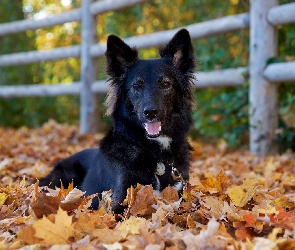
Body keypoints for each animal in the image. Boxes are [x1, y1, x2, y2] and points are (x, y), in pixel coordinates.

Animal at [40, 29, 197, 213]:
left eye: (166, 84)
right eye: (136, 86)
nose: (150, 113)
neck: (155, 153)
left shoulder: (180, 194)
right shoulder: (119, 200)